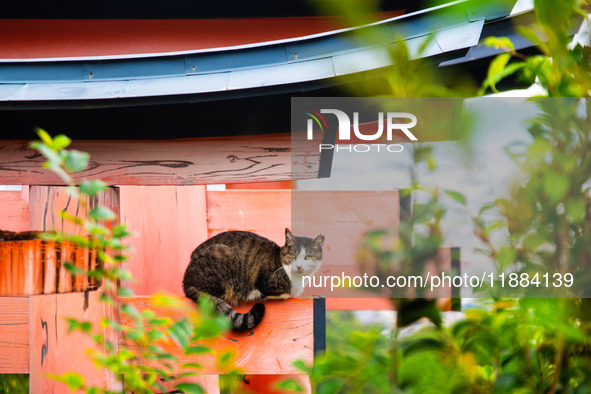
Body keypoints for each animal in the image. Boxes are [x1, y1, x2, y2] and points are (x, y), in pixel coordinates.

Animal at [184, 229, 326, 330]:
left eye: (308, 257)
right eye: (292, 255)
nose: (298, 266)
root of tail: (185, 281)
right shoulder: (266, 284)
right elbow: (282, 294)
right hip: (222, 253)